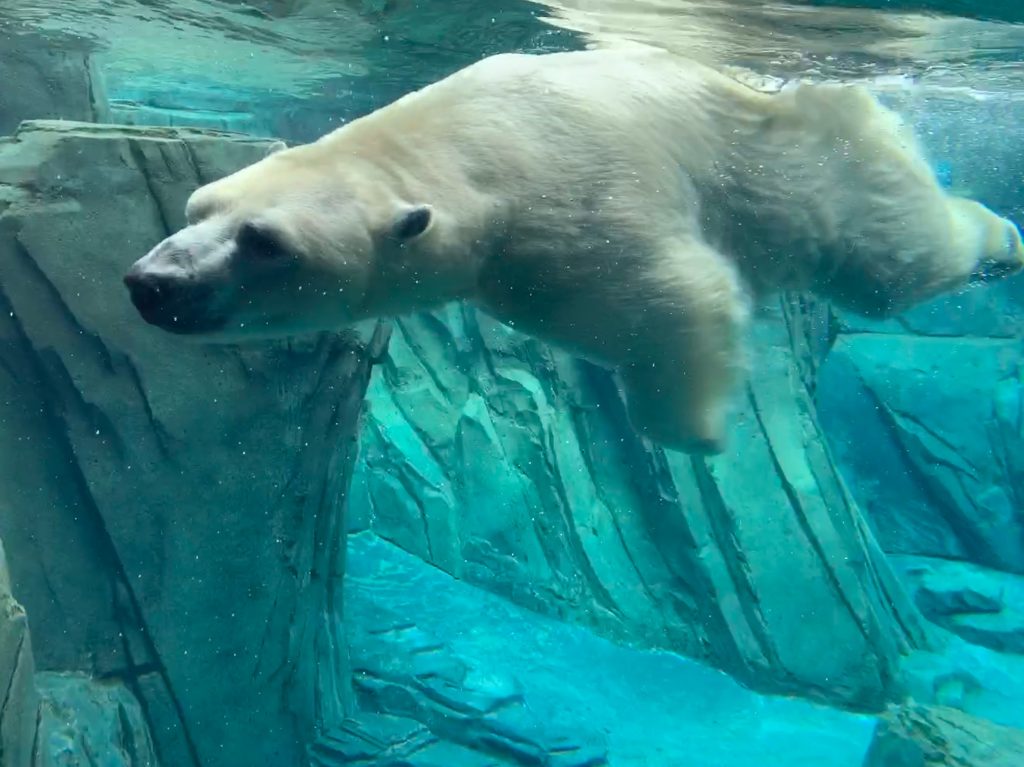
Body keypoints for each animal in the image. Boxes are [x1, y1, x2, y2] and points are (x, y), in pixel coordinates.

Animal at [123, 45, 1024, 455]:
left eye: (264, 241)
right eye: (200, 207)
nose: (153, 281)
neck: (479, 139)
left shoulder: (569, 204)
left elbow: (679, 292)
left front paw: (694, 430)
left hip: (826, 167)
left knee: (892, 259)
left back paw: (1003, 237)